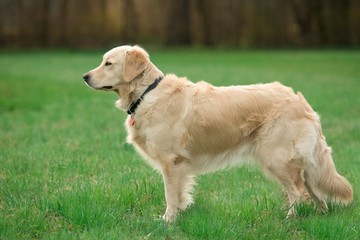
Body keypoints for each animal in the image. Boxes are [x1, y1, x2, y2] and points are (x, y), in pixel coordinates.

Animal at [83, 45, 352, 223]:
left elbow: (171, 195)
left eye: (108, 63)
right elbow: (181, 194)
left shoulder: (171, 162)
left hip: (276, 156)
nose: (85, 77)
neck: (146, 93)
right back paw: (320, 216)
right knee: (314, 191)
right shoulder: (179, 165)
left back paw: (289, 219)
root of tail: (302, 102)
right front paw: (180, 215)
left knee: (298, 191)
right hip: (300, 161)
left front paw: (167, 221)